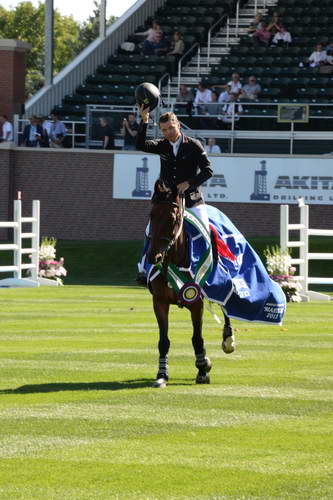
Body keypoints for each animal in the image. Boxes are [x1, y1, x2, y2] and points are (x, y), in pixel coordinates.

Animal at [147, 182, 235, 388]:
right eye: (151, 215)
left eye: (172, 218)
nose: (153, 256)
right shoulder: (160, 302)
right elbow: (163, 341)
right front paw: (162, 375)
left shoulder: (196, 303)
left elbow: (197, 338)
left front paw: (203, 369)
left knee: (226, 305)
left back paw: (228, 339)